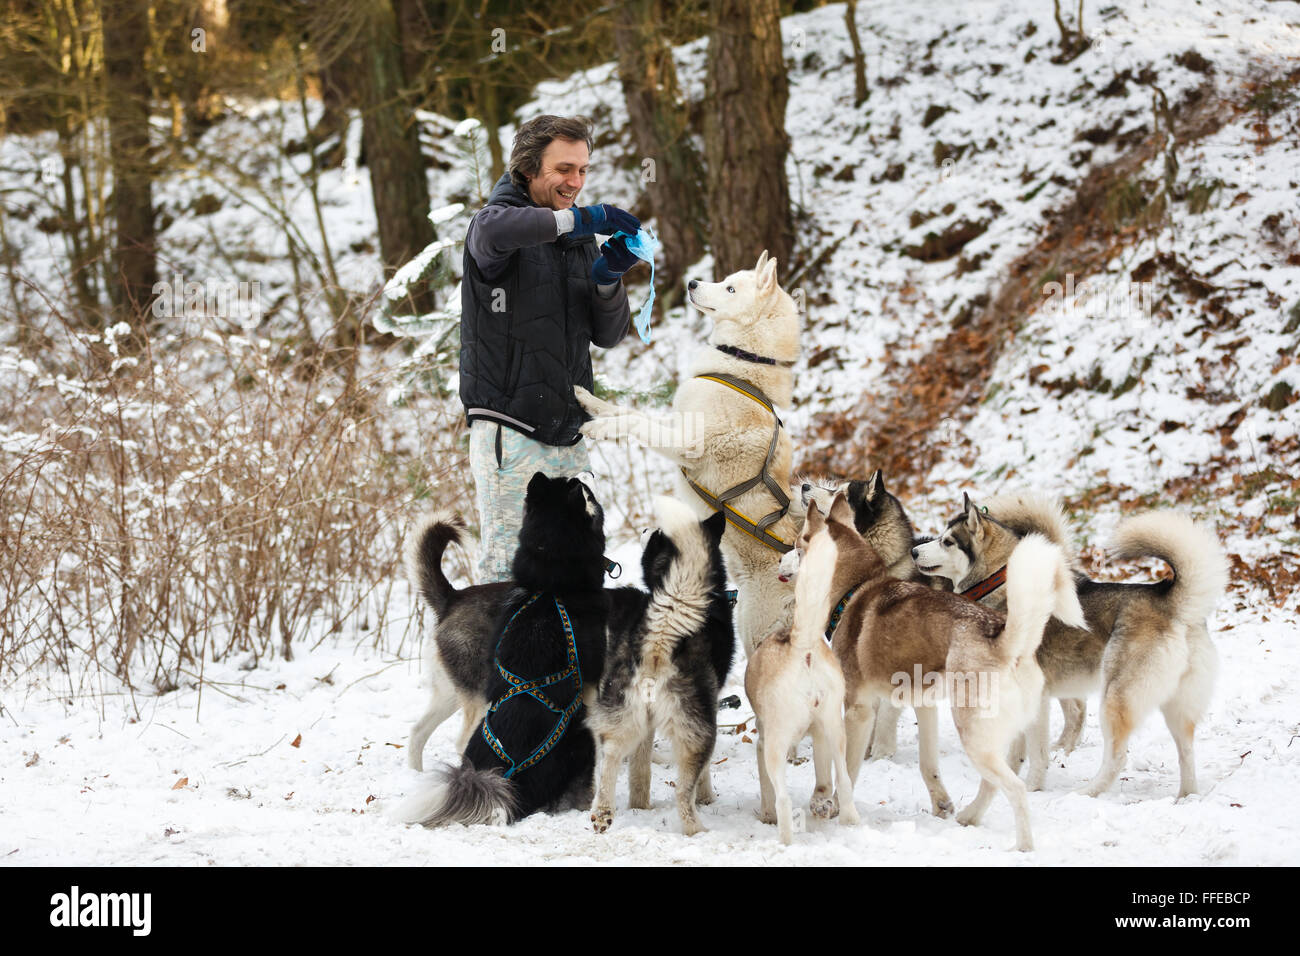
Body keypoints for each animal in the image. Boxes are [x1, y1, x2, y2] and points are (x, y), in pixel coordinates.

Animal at [397, 476, 611, 827]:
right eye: (584, 490)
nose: (585, 476)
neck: (552, 585)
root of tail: (452, 599)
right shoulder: (591, 690)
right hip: (478, 700)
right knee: (460, 740)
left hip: (450, 694)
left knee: (417, 732)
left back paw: (416, 777)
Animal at [579, 251, 800, 660]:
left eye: (730, 288)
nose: (692, 283)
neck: (745, 365)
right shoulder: (674, 422)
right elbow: (627, 412)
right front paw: (590, 404)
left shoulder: (686, 441)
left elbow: (636, 424)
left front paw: (599, 429)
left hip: (755, 633)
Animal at [590, 502, 733, 837]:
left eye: (654, 532)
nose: (644, 528)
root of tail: (662, 634)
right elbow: (703, 776)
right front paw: (707, 797)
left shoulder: (645, 722)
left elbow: (639, 768)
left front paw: (640, 805)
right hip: (698, 730)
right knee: (683, 790)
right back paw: (697, 829)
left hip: (622, 713)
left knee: (610, 757)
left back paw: (602, 812)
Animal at [800, 494, 1086, 853]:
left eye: (798, 544)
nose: (782, 565)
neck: (856, 588)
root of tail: (1005, 640)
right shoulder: (924, 704)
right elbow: (928, 765)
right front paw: (941, 806)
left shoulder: (858, 711)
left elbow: (848, 771)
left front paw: (839, 808)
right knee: (994, 784)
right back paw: (969, 817)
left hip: (973, 734)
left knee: (1016, 789)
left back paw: (1023, 847)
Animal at [915, 496, 1227, 796]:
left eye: (947, 541)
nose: (915, 551)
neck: (998, 582)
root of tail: (1173, 604)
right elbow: (1016, 751)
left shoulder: (1039, 701)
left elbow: (1037, 754)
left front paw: (1033, 788)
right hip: (1177, 708)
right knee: (1186, 753)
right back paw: (1185, 796)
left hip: (1116, 700)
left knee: (1117, 757)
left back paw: (1088, 792)